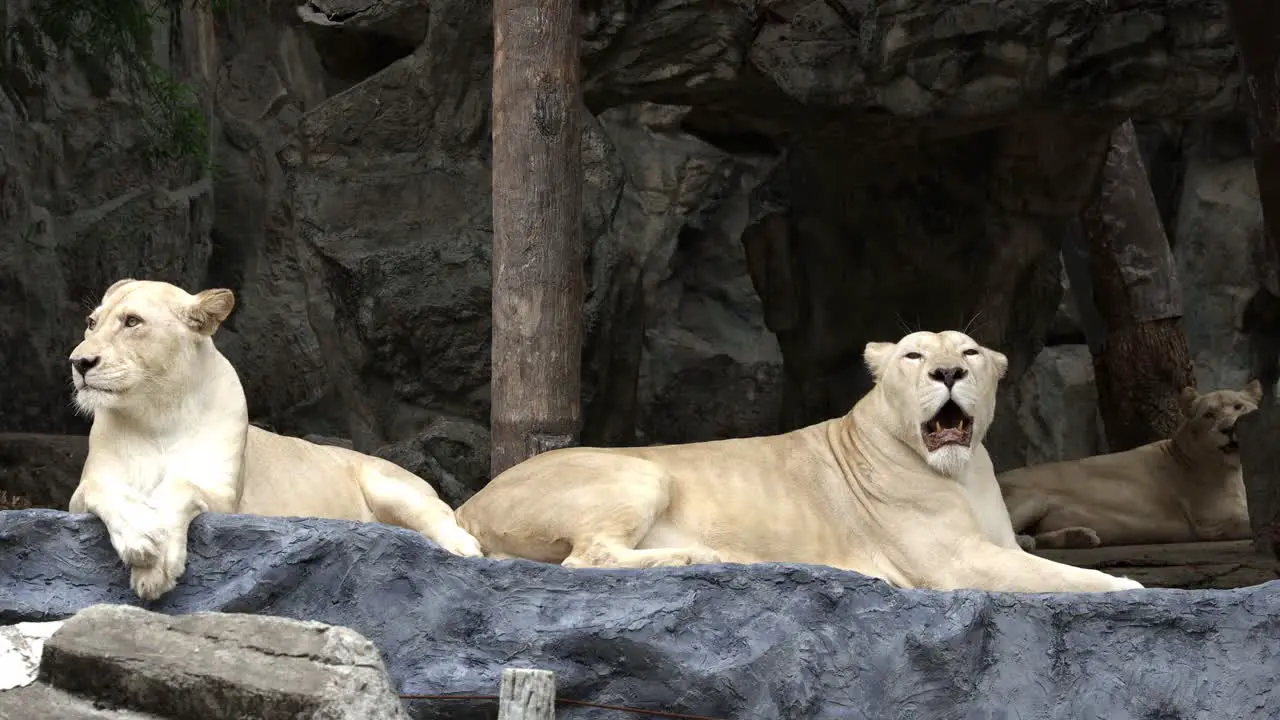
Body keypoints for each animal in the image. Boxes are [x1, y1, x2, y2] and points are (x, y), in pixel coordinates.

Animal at [62, 278, 481, 597]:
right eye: (91, 322)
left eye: (132, 322)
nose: (79, 362)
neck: (158, 413)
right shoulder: (82, 494)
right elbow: (109, 493)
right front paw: (142, 543)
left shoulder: (225, 496)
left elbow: (179, 485)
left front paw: (157, 564)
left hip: (390, 485)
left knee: (443, 517)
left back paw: (465, 551)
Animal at [458, 327, 1141, 591]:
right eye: (914, 356)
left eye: (969, 352)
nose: (948, 373)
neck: (964, 472)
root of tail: (471, 502)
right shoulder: (955, 562)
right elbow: (1058, 577)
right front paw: (1127, 584)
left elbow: (1043, 557)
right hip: (640, 471)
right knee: (585, 559)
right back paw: (702, 556)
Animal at [993, 379, 1254, 545]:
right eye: (1209, 415)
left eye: (1238, 407)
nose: (1228, 428)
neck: (1233, 470)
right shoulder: (1213, 521)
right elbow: (1249, 523)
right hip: (1031, 498)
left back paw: (1078, 538)